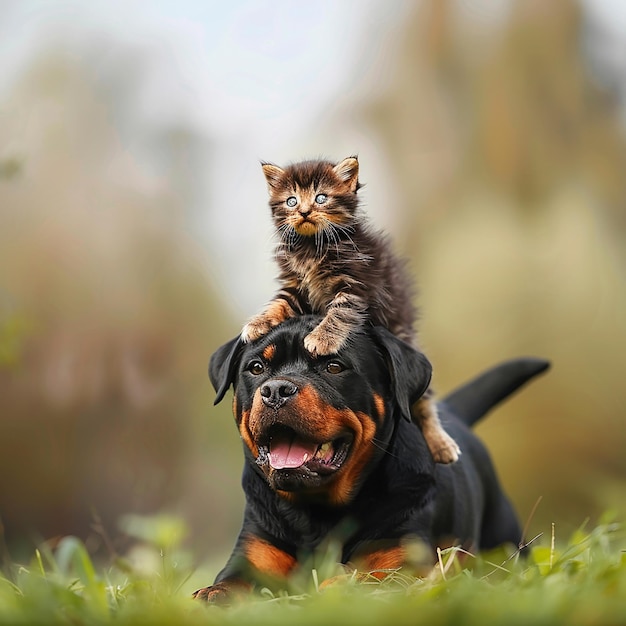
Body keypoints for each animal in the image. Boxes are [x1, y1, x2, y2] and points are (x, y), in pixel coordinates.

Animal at [194, 316, 544, 600]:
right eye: (256, 368)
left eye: (334, 366)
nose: (276, 389)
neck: (318, 513)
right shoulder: (254, 557)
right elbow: (233, 581)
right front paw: (214, 593)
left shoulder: (400, 562)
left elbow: (368, 578)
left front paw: (336, 586)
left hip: (504, 542)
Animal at [239, 156, 458, 464]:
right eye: (291, 201)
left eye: (320, 198)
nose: (304, 211)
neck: (311, 245)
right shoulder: (294, 288)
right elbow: (278, 303)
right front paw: (258, 323)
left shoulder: (355, 286)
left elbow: (338, 314)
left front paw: (321, 339)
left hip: (402, 333)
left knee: (423, 400)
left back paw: (440, 443)